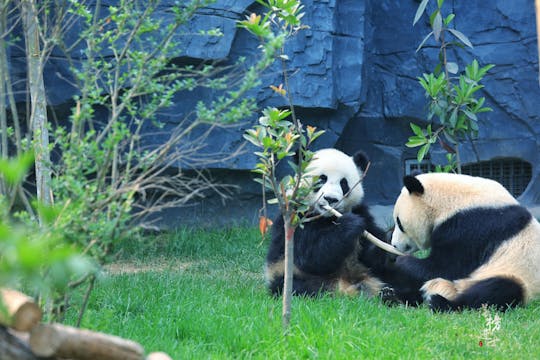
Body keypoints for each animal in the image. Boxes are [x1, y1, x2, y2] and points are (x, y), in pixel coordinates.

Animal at [264, 148, 394, 296]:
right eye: (321, 179)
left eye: (344, 183)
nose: (331, 199)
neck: (327, 217)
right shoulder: (296, 218)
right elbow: (310, 256)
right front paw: (351, 224)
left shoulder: (361, 210)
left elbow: (370, 259)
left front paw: (387, 238)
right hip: (288, 274)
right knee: (299, 287)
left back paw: (387, 292)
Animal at [388, 173, 540, 310]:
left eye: (399, 223)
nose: (394, 245)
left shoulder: (474, 225)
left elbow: (446, 267)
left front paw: (400, 260)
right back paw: (394, 296)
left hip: (515, 275)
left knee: (498, 290)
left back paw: (441, 302)